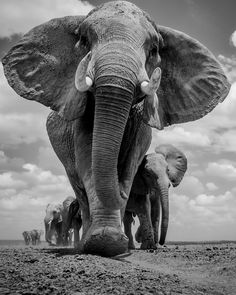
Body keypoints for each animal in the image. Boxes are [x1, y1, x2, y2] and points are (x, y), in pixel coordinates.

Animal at [2, 1, 230, 256]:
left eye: (154, 50)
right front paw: (103, 243)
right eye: (84, 40)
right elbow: (88, 161)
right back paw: (84, 243)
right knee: (78, 187)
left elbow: (129, 165)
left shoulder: (140, 131)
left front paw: (116, 243)